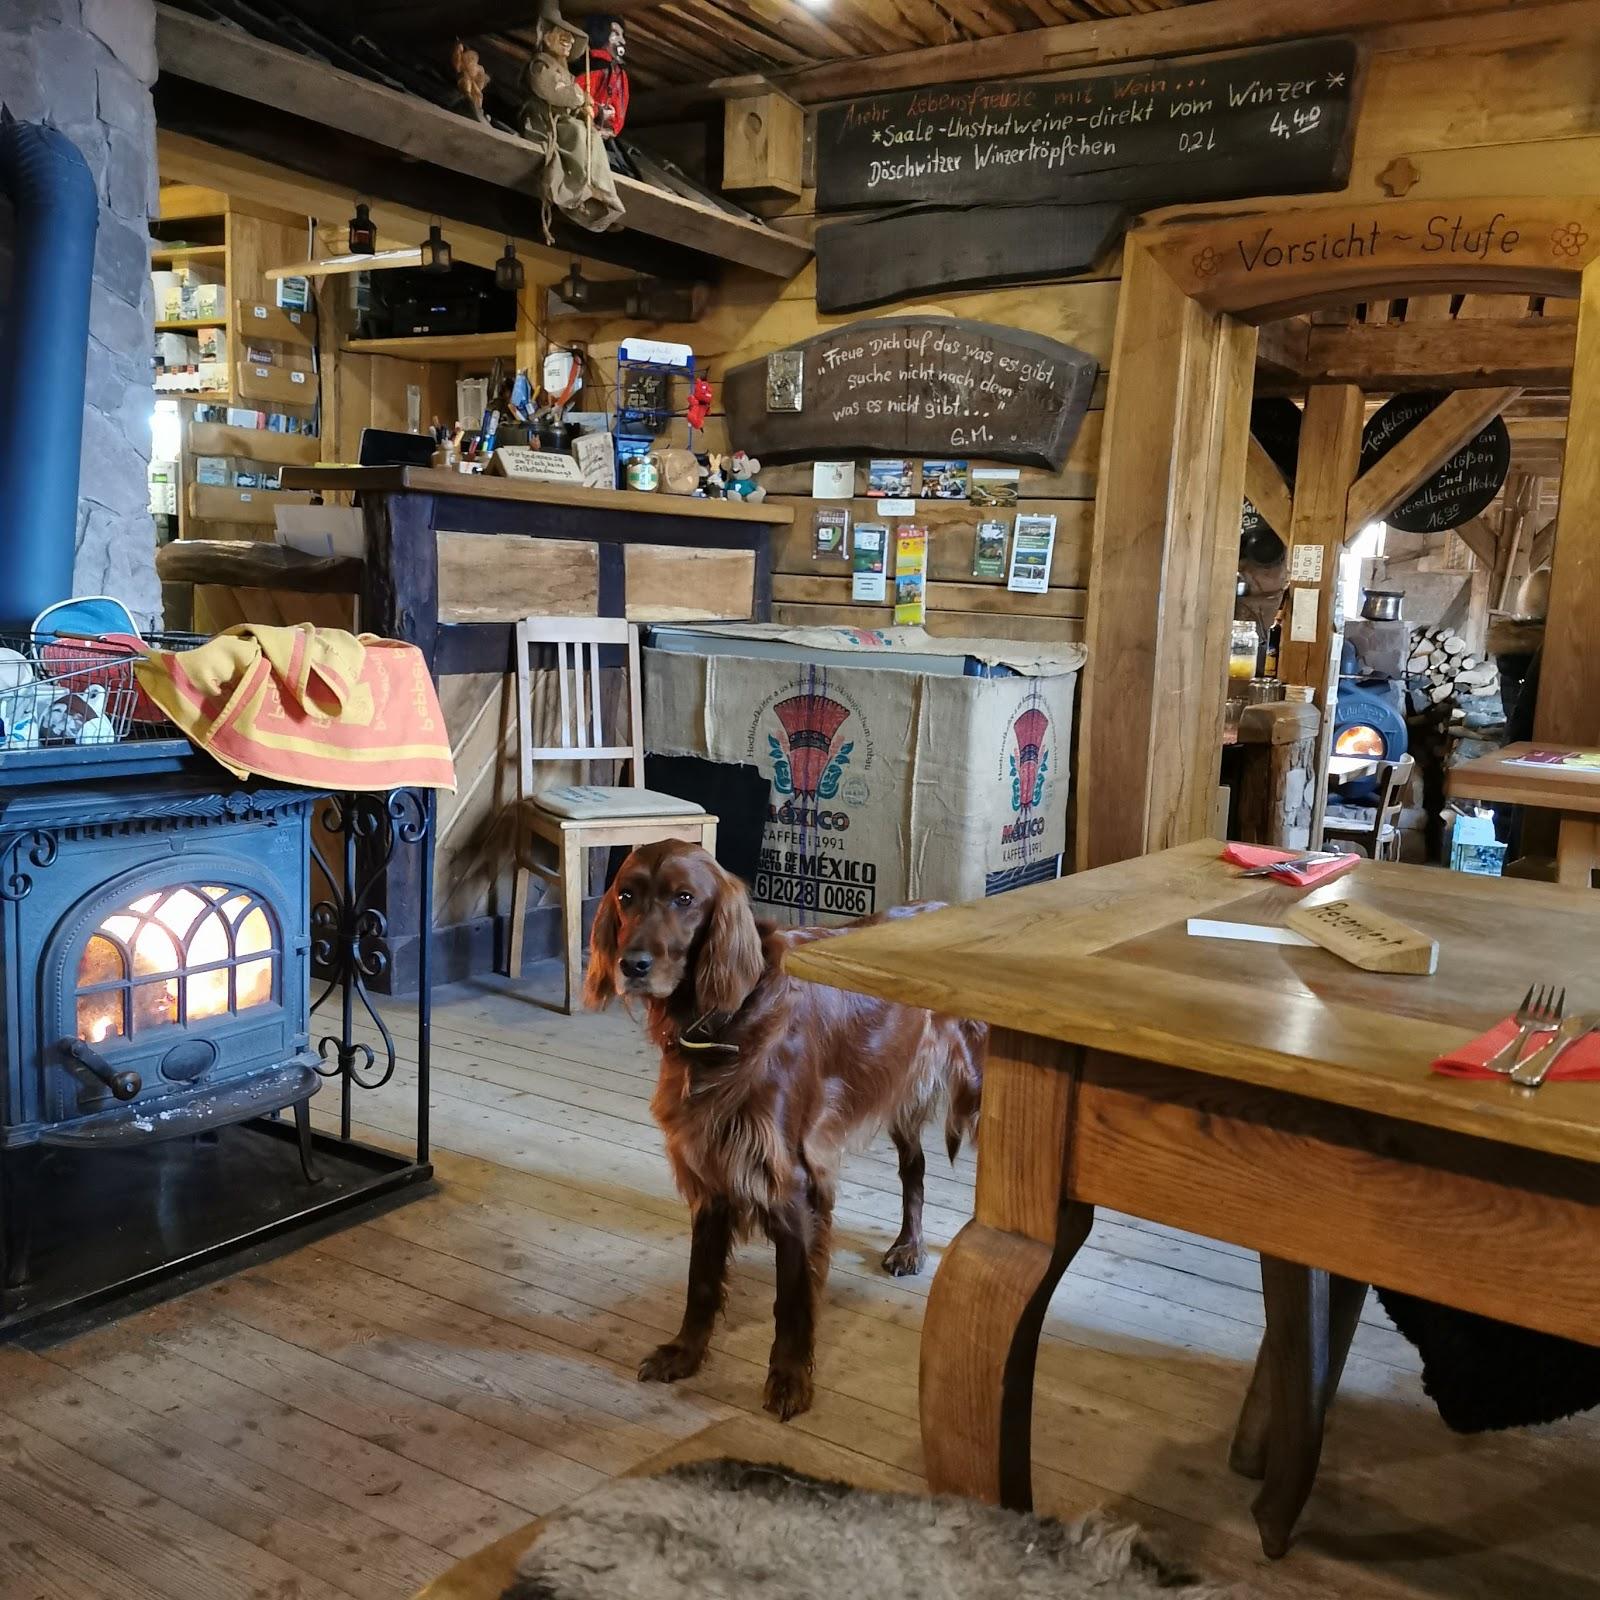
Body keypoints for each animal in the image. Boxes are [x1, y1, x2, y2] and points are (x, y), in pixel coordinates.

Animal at [582, 844, 979, 1420]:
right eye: (626, 895)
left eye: (685, 898)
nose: (631, 965)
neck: (725, 1022)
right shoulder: (713, 1167)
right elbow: (701, 1281)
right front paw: (685, 1353)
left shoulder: (789, 1180)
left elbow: (790, 1297)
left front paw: (790, 1379)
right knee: (914, 1167)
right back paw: (909, 1245)